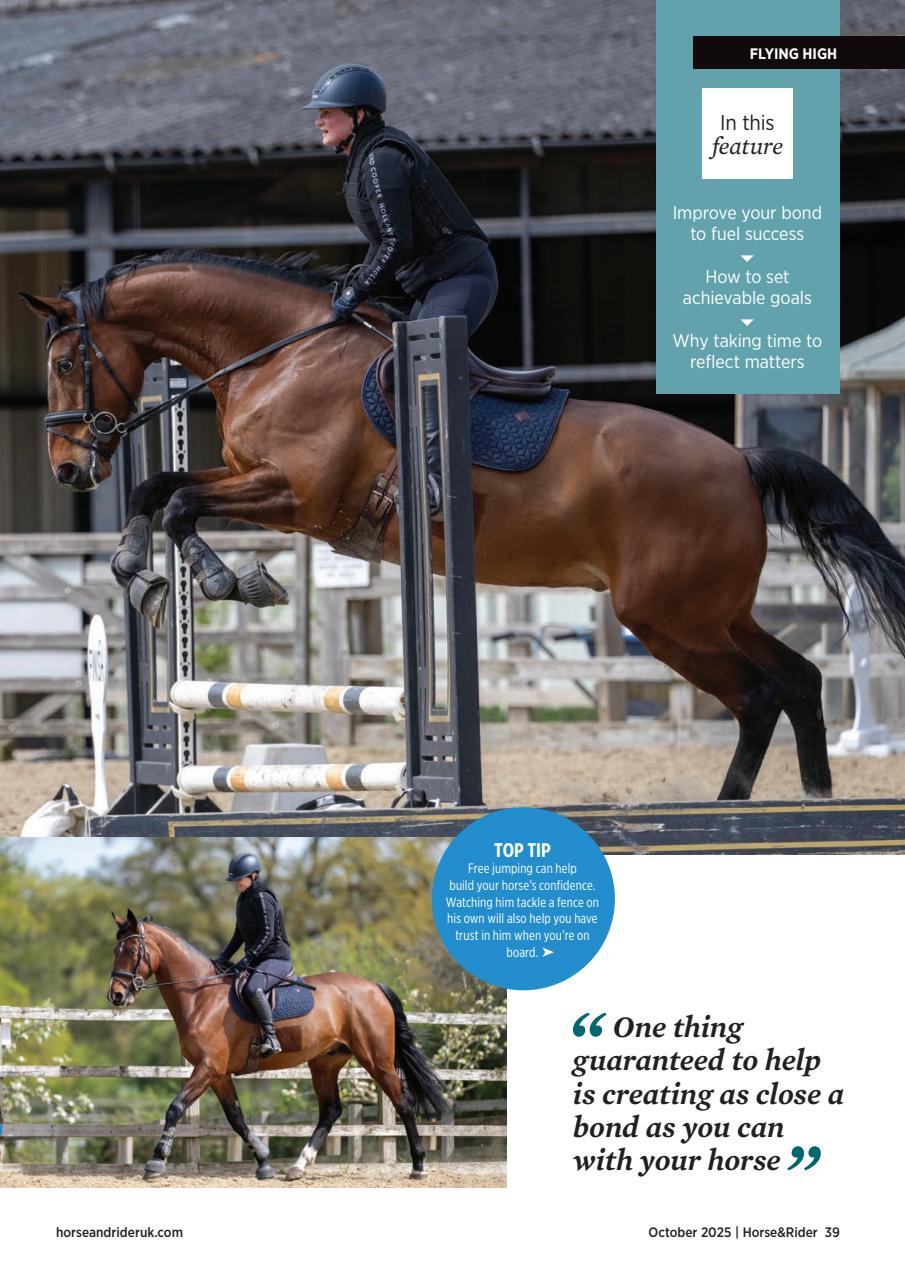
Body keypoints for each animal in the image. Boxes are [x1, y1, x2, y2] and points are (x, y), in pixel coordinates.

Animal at [20, 250, 905, 802]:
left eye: (65, 363)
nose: (65, 469)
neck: (278, 356)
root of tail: (739, 462)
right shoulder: (257, 484)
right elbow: (159, 492)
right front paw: (149, 579)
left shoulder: (295, 494)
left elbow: (173, 501)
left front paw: (218, 579)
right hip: (712, 610)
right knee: (797, 679)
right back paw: (813, 797)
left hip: (665, 616)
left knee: (757, 695)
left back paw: (733, 806)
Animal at [107, 910, 449, 1181]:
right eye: (115, 949)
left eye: (133, 949)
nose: (116, 995)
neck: (200, 996)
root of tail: (373, 987)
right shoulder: (218, 1075)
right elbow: (236, 1118)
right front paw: (263, 1160)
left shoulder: (207, 1069)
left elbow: (175, 1108)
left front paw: (156, 1161)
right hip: (325, 1062)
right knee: (330, 1110)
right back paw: (298, 1166)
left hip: (376, 1059)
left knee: (403, 1102)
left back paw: (418, 1165)